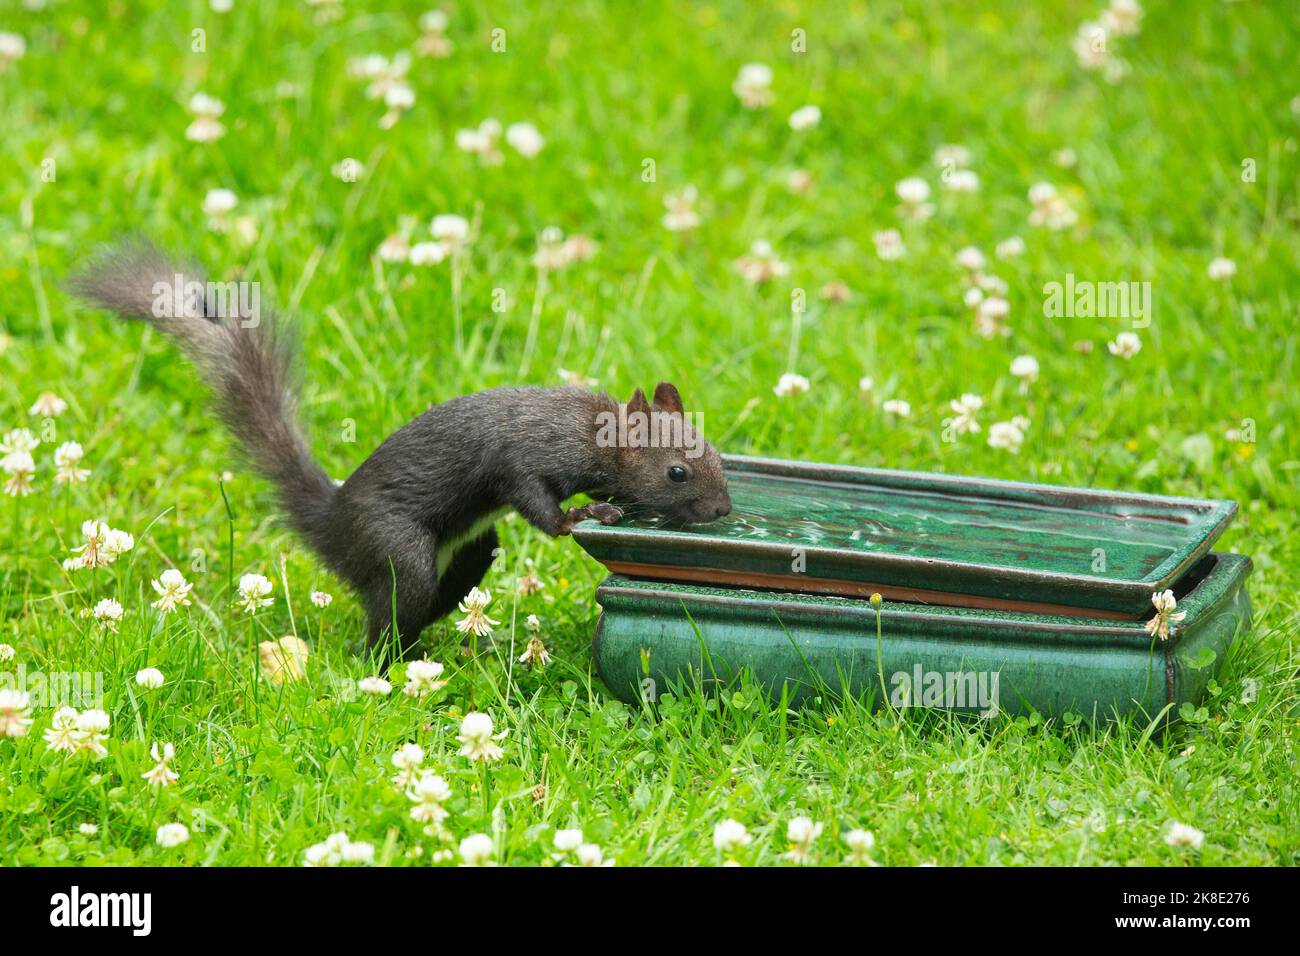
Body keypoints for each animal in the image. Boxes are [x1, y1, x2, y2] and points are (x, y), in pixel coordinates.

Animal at [71, 240, 733, 658]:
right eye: (677, 472)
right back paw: (384, 664)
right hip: (398, 548)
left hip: (469, 554)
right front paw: (586, 514)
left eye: (715, 453)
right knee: (387, 614)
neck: (594, 431)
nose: (724, 510)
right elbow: (538, 506)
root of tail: (331, 524)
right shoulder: (522, 458)